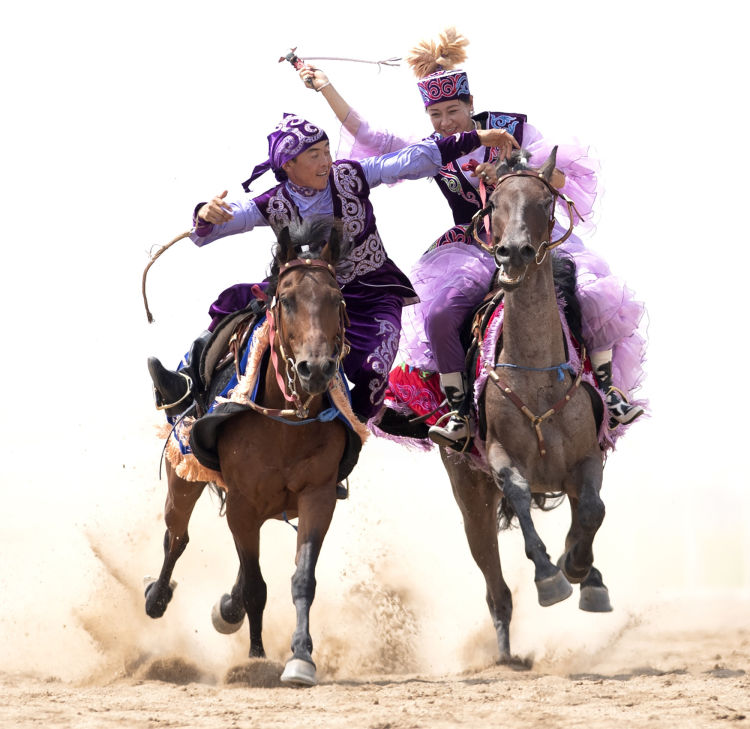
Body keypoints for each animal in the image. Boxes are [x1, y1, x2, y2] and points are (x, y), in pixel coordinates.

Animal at [144, 218, 351, 686]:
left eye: (336, 300)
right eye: (287, 300)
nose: (315, 369)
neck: (286, 422)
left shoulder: (319, 496)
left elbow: (302, 579)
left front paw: (301, 658)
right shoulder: (240, 502)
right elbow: (257, 587)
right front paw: (256, 660)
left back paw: (227, 607)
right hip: (183, 477)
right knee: (176, 537)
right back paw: (157, 597)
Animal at [440, 147, 612, 664]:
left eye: (545, 200)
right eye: (494, 202)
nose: (512, 252)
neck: (536, 376)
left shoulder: (587, 458)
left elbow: (592, 510)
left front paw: (579, 569)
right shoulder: (498, 456)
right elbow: (517, 490)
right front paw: (551, 577)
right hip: (469, 497)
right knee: (495, 585)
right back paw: (505, 653)